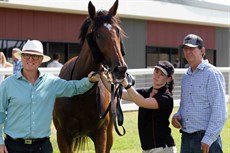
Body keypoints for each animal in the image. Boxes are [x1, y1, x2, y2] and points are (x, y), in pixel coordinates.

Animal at [52, 0, 127, 152]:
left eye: (117, 32)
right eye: (98, 35)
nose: (120, 69)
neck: (79, 95)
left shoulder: (101, 134)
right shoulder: (62, 136)